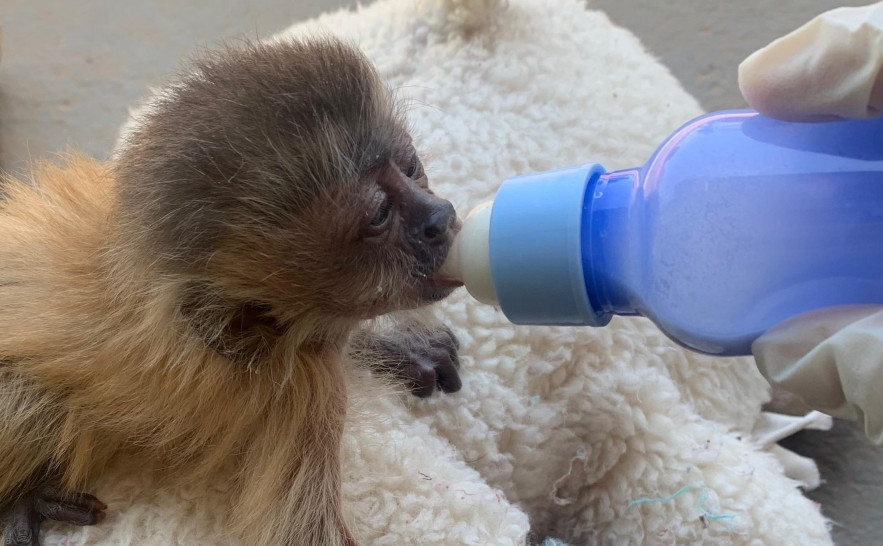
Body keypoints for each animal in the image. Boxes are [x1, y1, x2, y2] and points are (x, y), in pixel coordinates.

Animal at [0, 37, 463, 546]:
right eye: (380, 215)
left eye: (411, 168)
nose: (440, 216)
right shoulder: (305, 395)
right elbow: (300, 534)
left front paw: (397, 346)